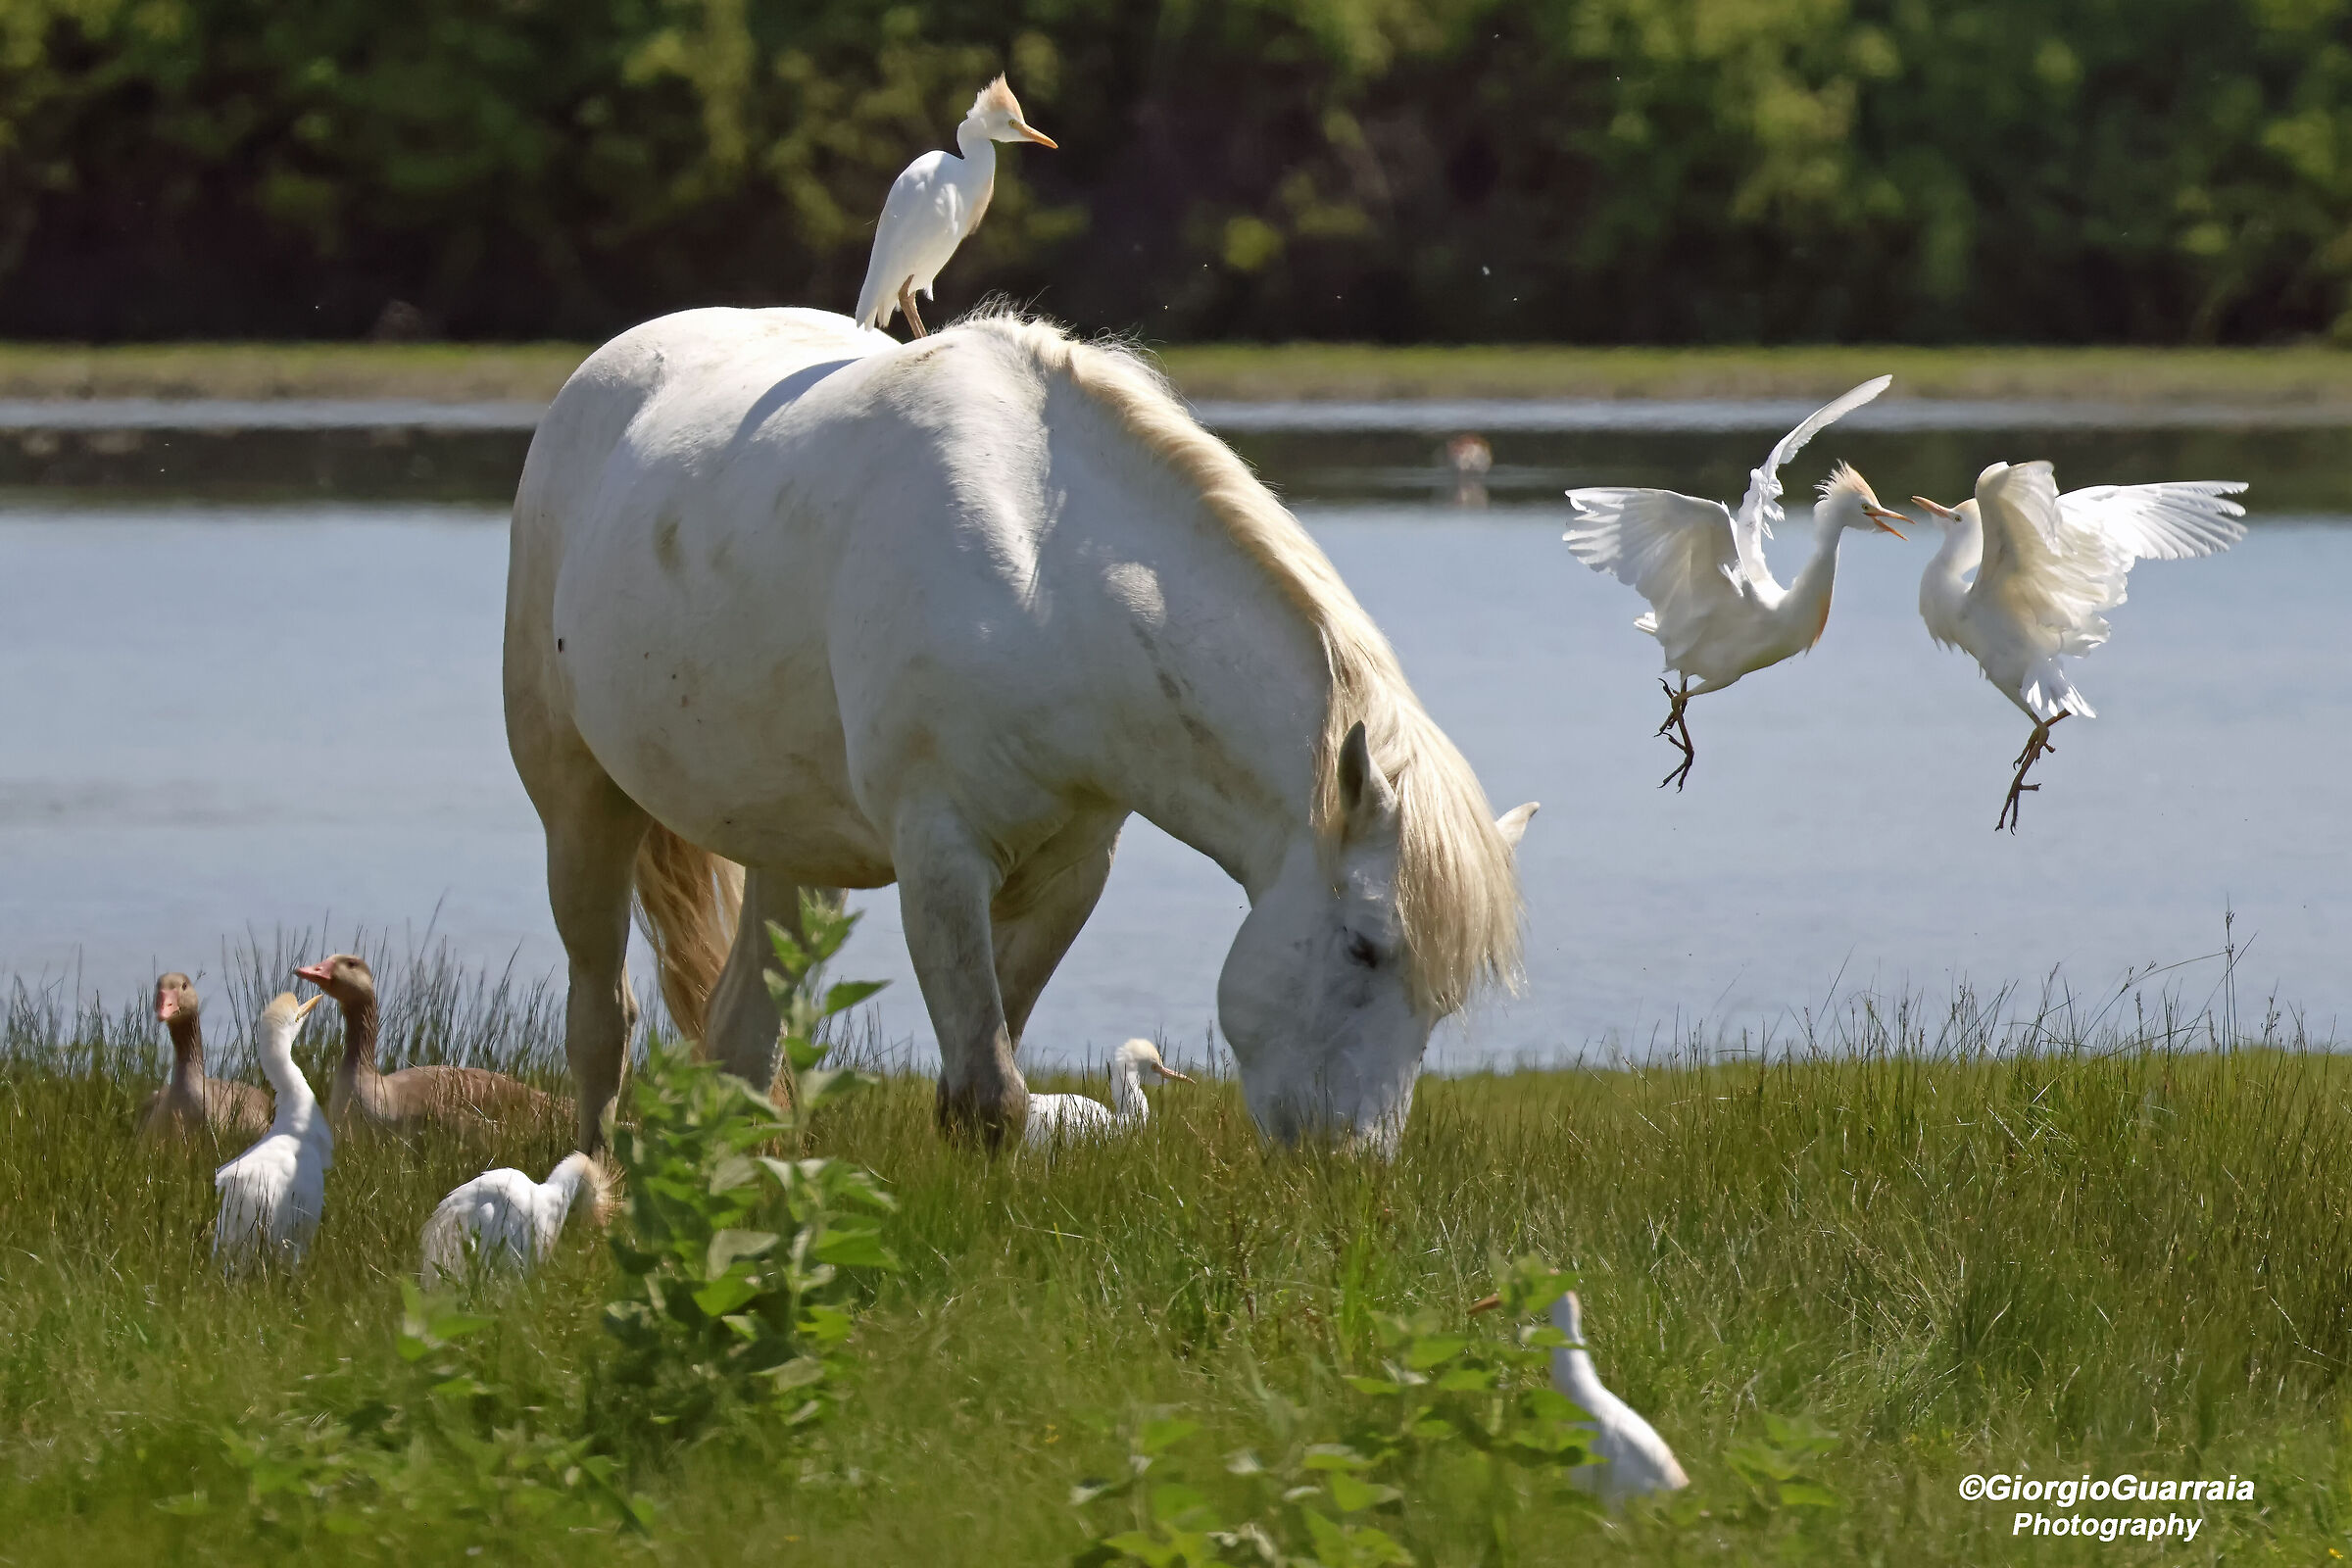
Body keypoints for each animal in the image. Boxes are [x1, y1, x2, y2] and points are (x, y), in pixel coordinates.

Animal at [503, 305, 1537, 1152]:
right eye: (1364, 947)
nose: (1350, 1158)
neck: (1044, 582)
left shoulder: (1067, 873)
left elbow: (980, 1090)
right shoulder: (941, 860)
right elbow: (989, 1102)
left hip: (791, 855)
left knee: (741, 1043)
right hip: (577, 803)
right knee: (602, 1021)